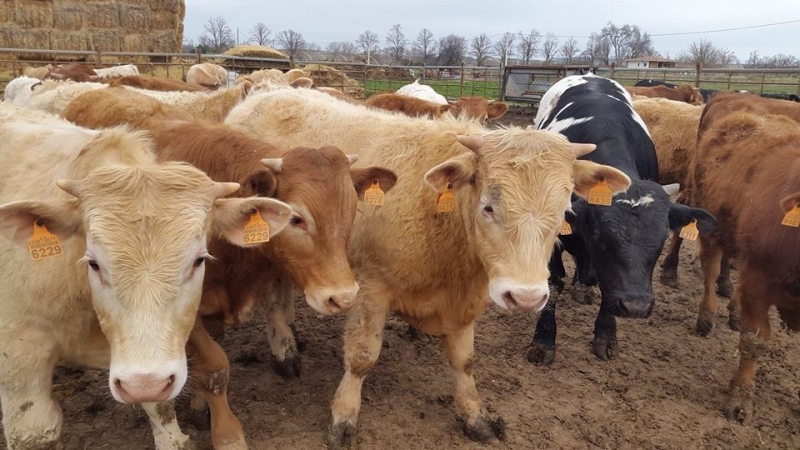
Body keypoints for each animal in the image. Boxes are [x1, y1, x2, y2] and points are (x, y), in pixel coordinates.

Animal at [528, 73, 716, 362]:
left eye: (661, 240)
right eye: (600, 237)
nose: (636, 306)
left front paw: (606, 335)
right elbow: (554, 282)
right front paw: (543, 340)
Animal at [688, 101, 800, 422]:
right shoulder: (758, 283)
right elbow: (754, 340)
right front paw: (739, 397)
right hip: (712, 229)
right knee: (711, 272)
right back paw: (707, 317)